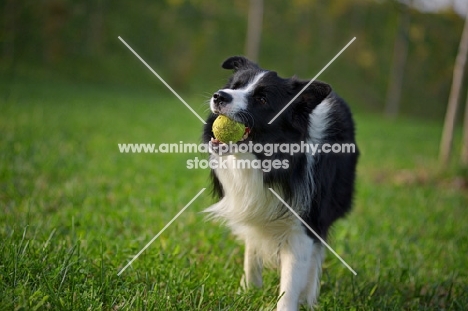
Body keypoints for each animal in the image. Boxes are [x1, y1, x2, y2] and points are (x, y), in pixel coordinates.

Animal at [201, 56, 358, 311]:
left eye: (262, 99)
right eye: (235, 85)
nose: (219, 96)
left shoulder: (303, 224)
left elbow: (292, 278)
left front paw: (294, 300)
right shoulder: (253, 205)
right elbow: (251, 250)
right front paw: (248, 291)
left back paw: (308, 296)